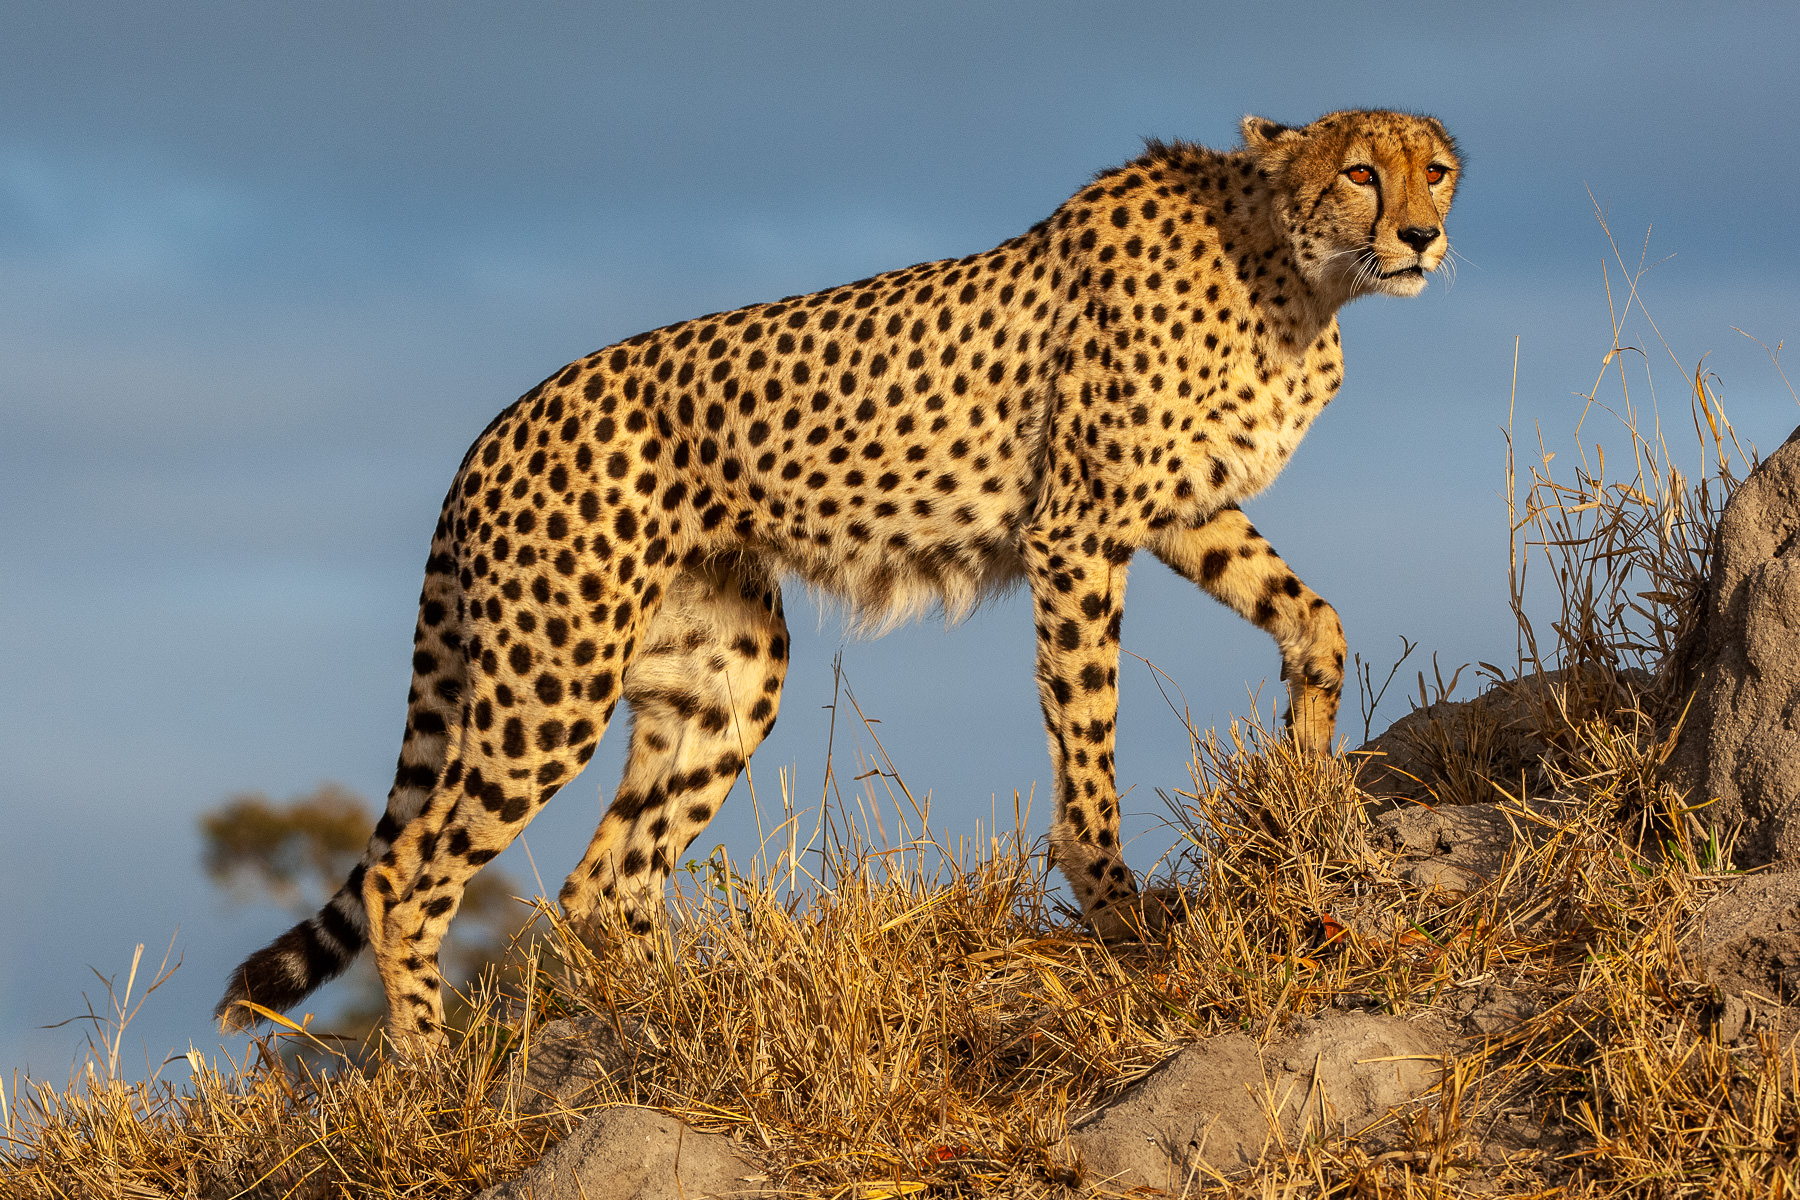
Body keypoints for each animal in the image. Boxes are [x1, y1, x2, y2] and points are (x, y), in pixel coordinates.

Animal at [218, 109, 1460, 1050]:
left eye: (1435, 168)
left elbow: (1313, 617)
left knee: (608, 878)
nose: (1425, 234)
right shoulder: (1079, 530)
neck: (1289, 271)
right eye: (1360, 170)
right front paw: (1115, 900)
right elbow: (1088, 726)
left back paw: (673, 1021)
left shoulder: (1183, 513)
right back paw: (430, 1073)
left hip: (726, 671)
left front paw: (1304, 777)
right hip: (551, 680)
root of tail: (494, 427)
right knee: (407, 872)